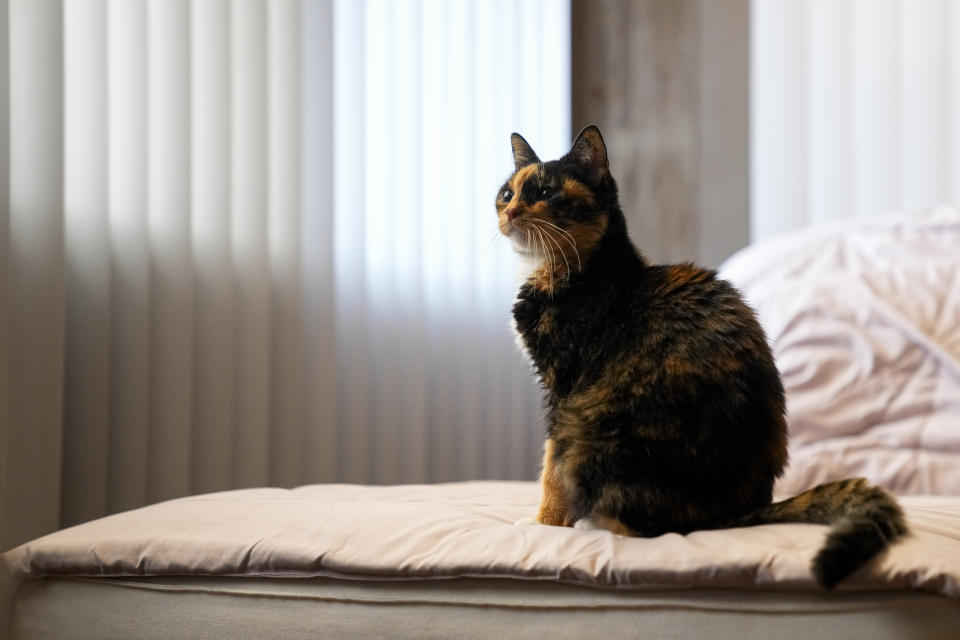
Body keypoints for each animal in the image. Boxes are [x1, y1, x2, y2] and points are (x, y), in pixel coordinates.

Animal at [502, 126, 908, 592]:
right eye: (506, 192)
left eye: (545, 192)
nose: (508, 211)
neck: (580, 269)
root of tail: (739, 511)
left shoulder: (563, 389)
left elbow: (551, 466)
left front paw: (545, 525)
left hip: (590, 427)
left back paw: (591, 524)